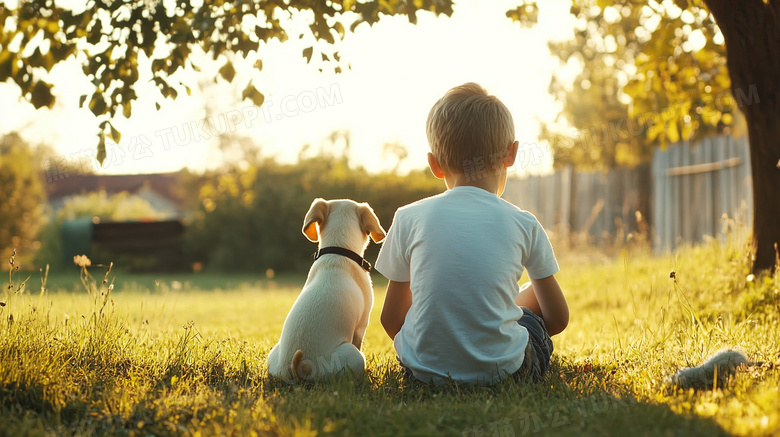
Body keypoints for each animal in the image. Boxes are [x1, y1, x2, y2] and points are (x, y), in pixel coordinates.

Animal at [266, 198, 386, 382]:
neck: (338, 250)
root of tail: (298, 369)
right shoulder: (361, 325)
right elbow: (359, 341)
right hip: (353, 356)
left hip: (273, 353)